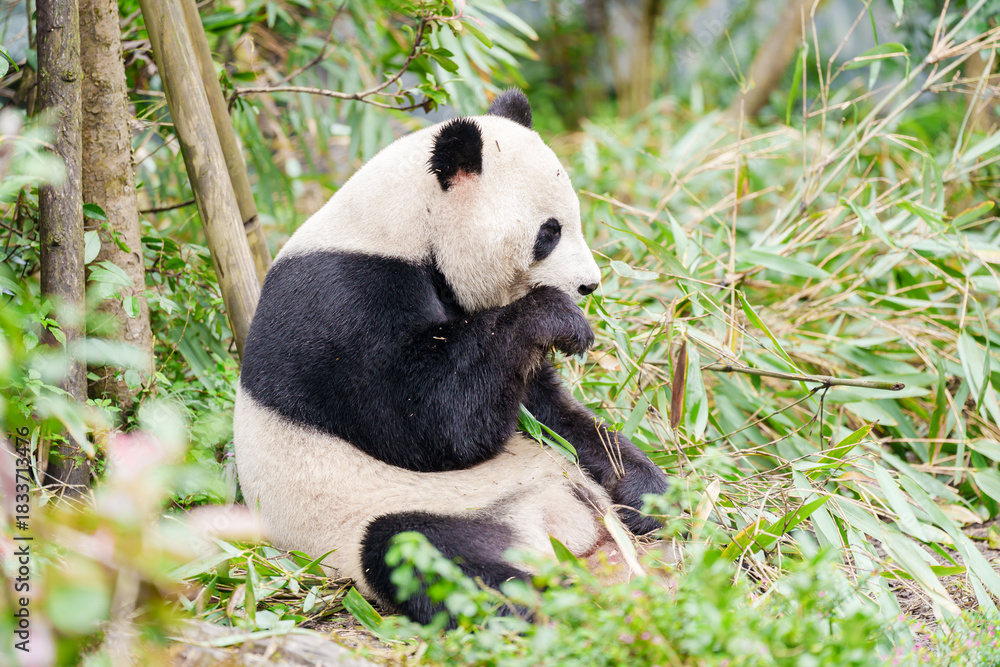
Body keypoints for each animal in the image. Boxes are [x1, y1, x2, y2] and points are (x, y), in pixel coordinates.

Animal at [233, 90, 668, 624]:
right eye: (549, 232)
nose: (589, 286)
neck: (405, 225)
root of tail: (556, 528)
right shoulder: (340, 302)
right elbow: (429, 423)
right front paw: (559, 319)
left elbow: (544, 409)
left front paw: (647, 482)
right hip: (390, 513)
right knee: (412, 548)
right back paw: (531, 600)